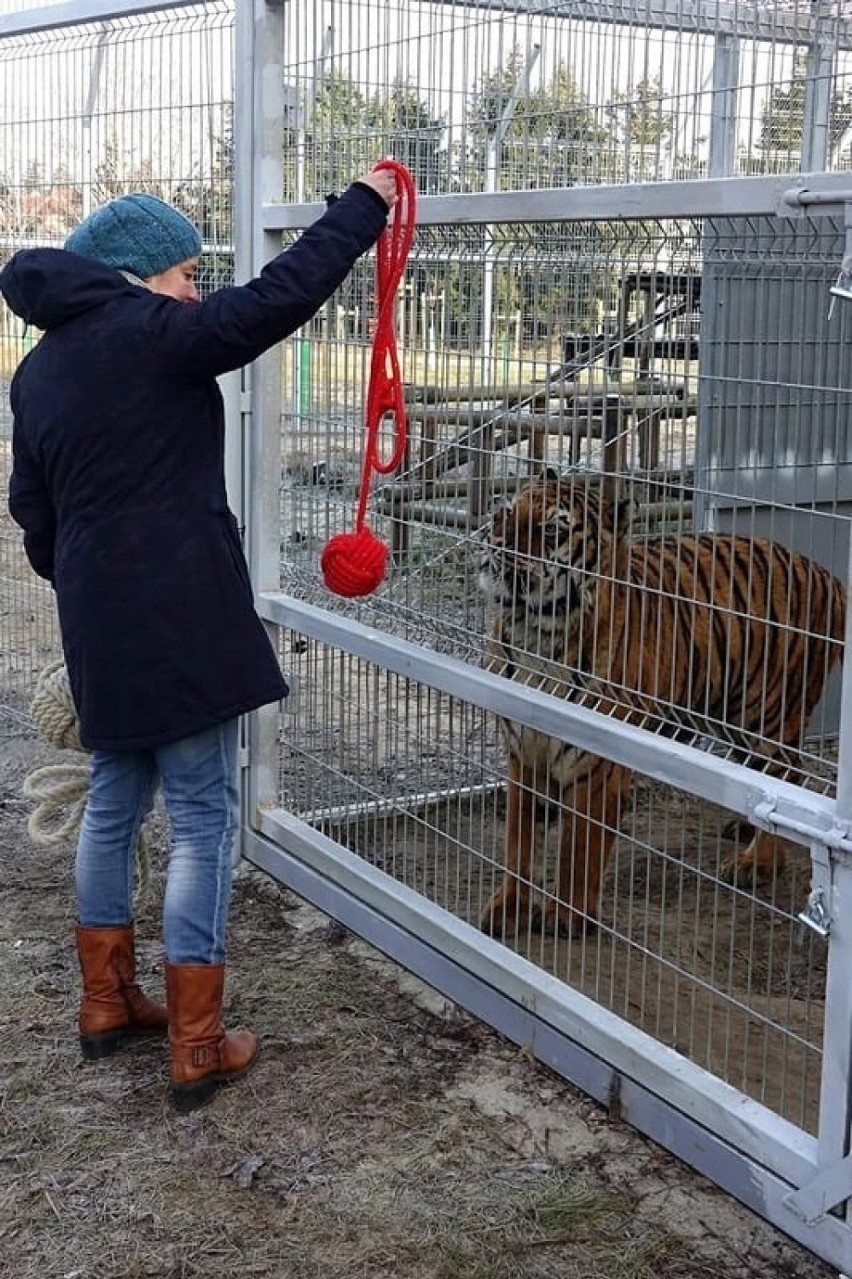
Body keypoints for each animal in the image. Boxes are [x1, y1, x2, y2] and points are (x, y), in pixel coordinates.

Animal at [478, 475, 844, 936]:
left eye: (551, 530)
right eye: (506, 512)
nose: (497, 540)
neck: (536, 631)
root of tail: (827, 575)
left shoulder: (595, 763)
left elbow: (578, 848)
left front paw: (567, 916)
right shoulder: (522, 749)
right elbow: (518, 841)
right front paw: (508, 908)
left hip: (768, 714)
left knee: (786, 781)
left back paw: (756, 864)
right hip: (729, 711)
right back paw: (742, 828)